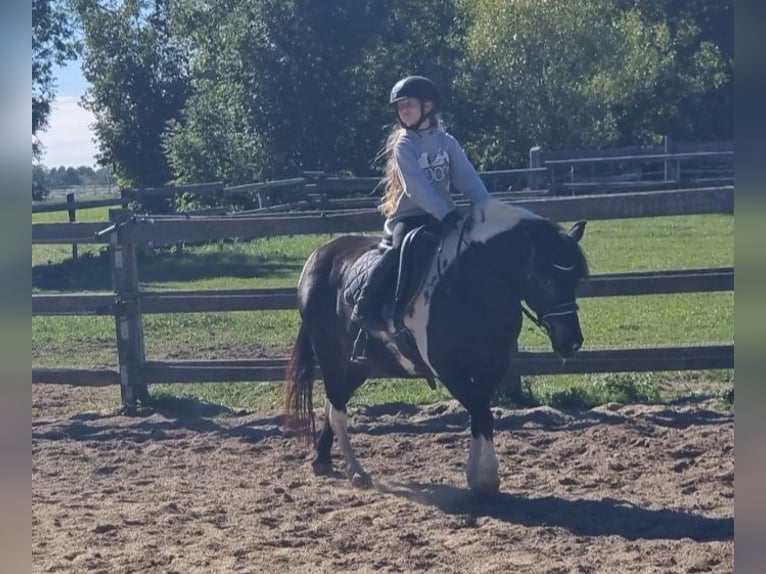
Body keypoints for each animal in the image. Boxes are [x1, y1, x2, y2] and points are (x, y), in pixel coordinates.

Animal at [284, 198, 589, 494]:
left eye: (576, 279)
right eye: (546, 279)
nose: (571, 341)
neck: (473, 283)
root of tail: (318, 257)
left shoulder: (494, 365)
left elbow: (480, 412)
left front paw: (476, 474)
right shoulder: (448, 369)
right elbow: (481, 412)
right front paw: (486, 478)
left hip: (358, 364)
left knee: (333, 403)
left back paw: (323, 460)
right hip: (330, 355)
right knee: (336, 410)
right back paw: (357, 472)